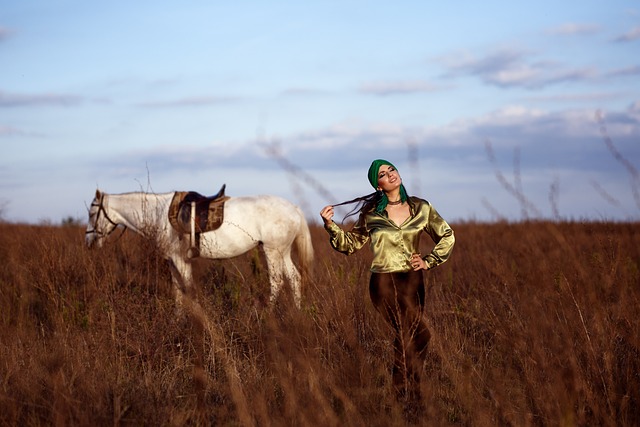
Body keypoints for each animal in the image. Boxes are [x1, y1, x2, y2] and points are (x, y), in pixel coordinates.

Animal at [85, 190, 316, 308]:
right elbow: (178, 292)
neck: (158, 213)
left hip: (272, 251)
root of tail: (294, 208)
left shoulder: (180, 260)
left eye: (91, 213)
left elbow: (188, 289)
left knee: (276, 281)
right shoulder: (173, 261)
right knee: (294, 279)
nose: (89, 242)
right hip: (283, 252)